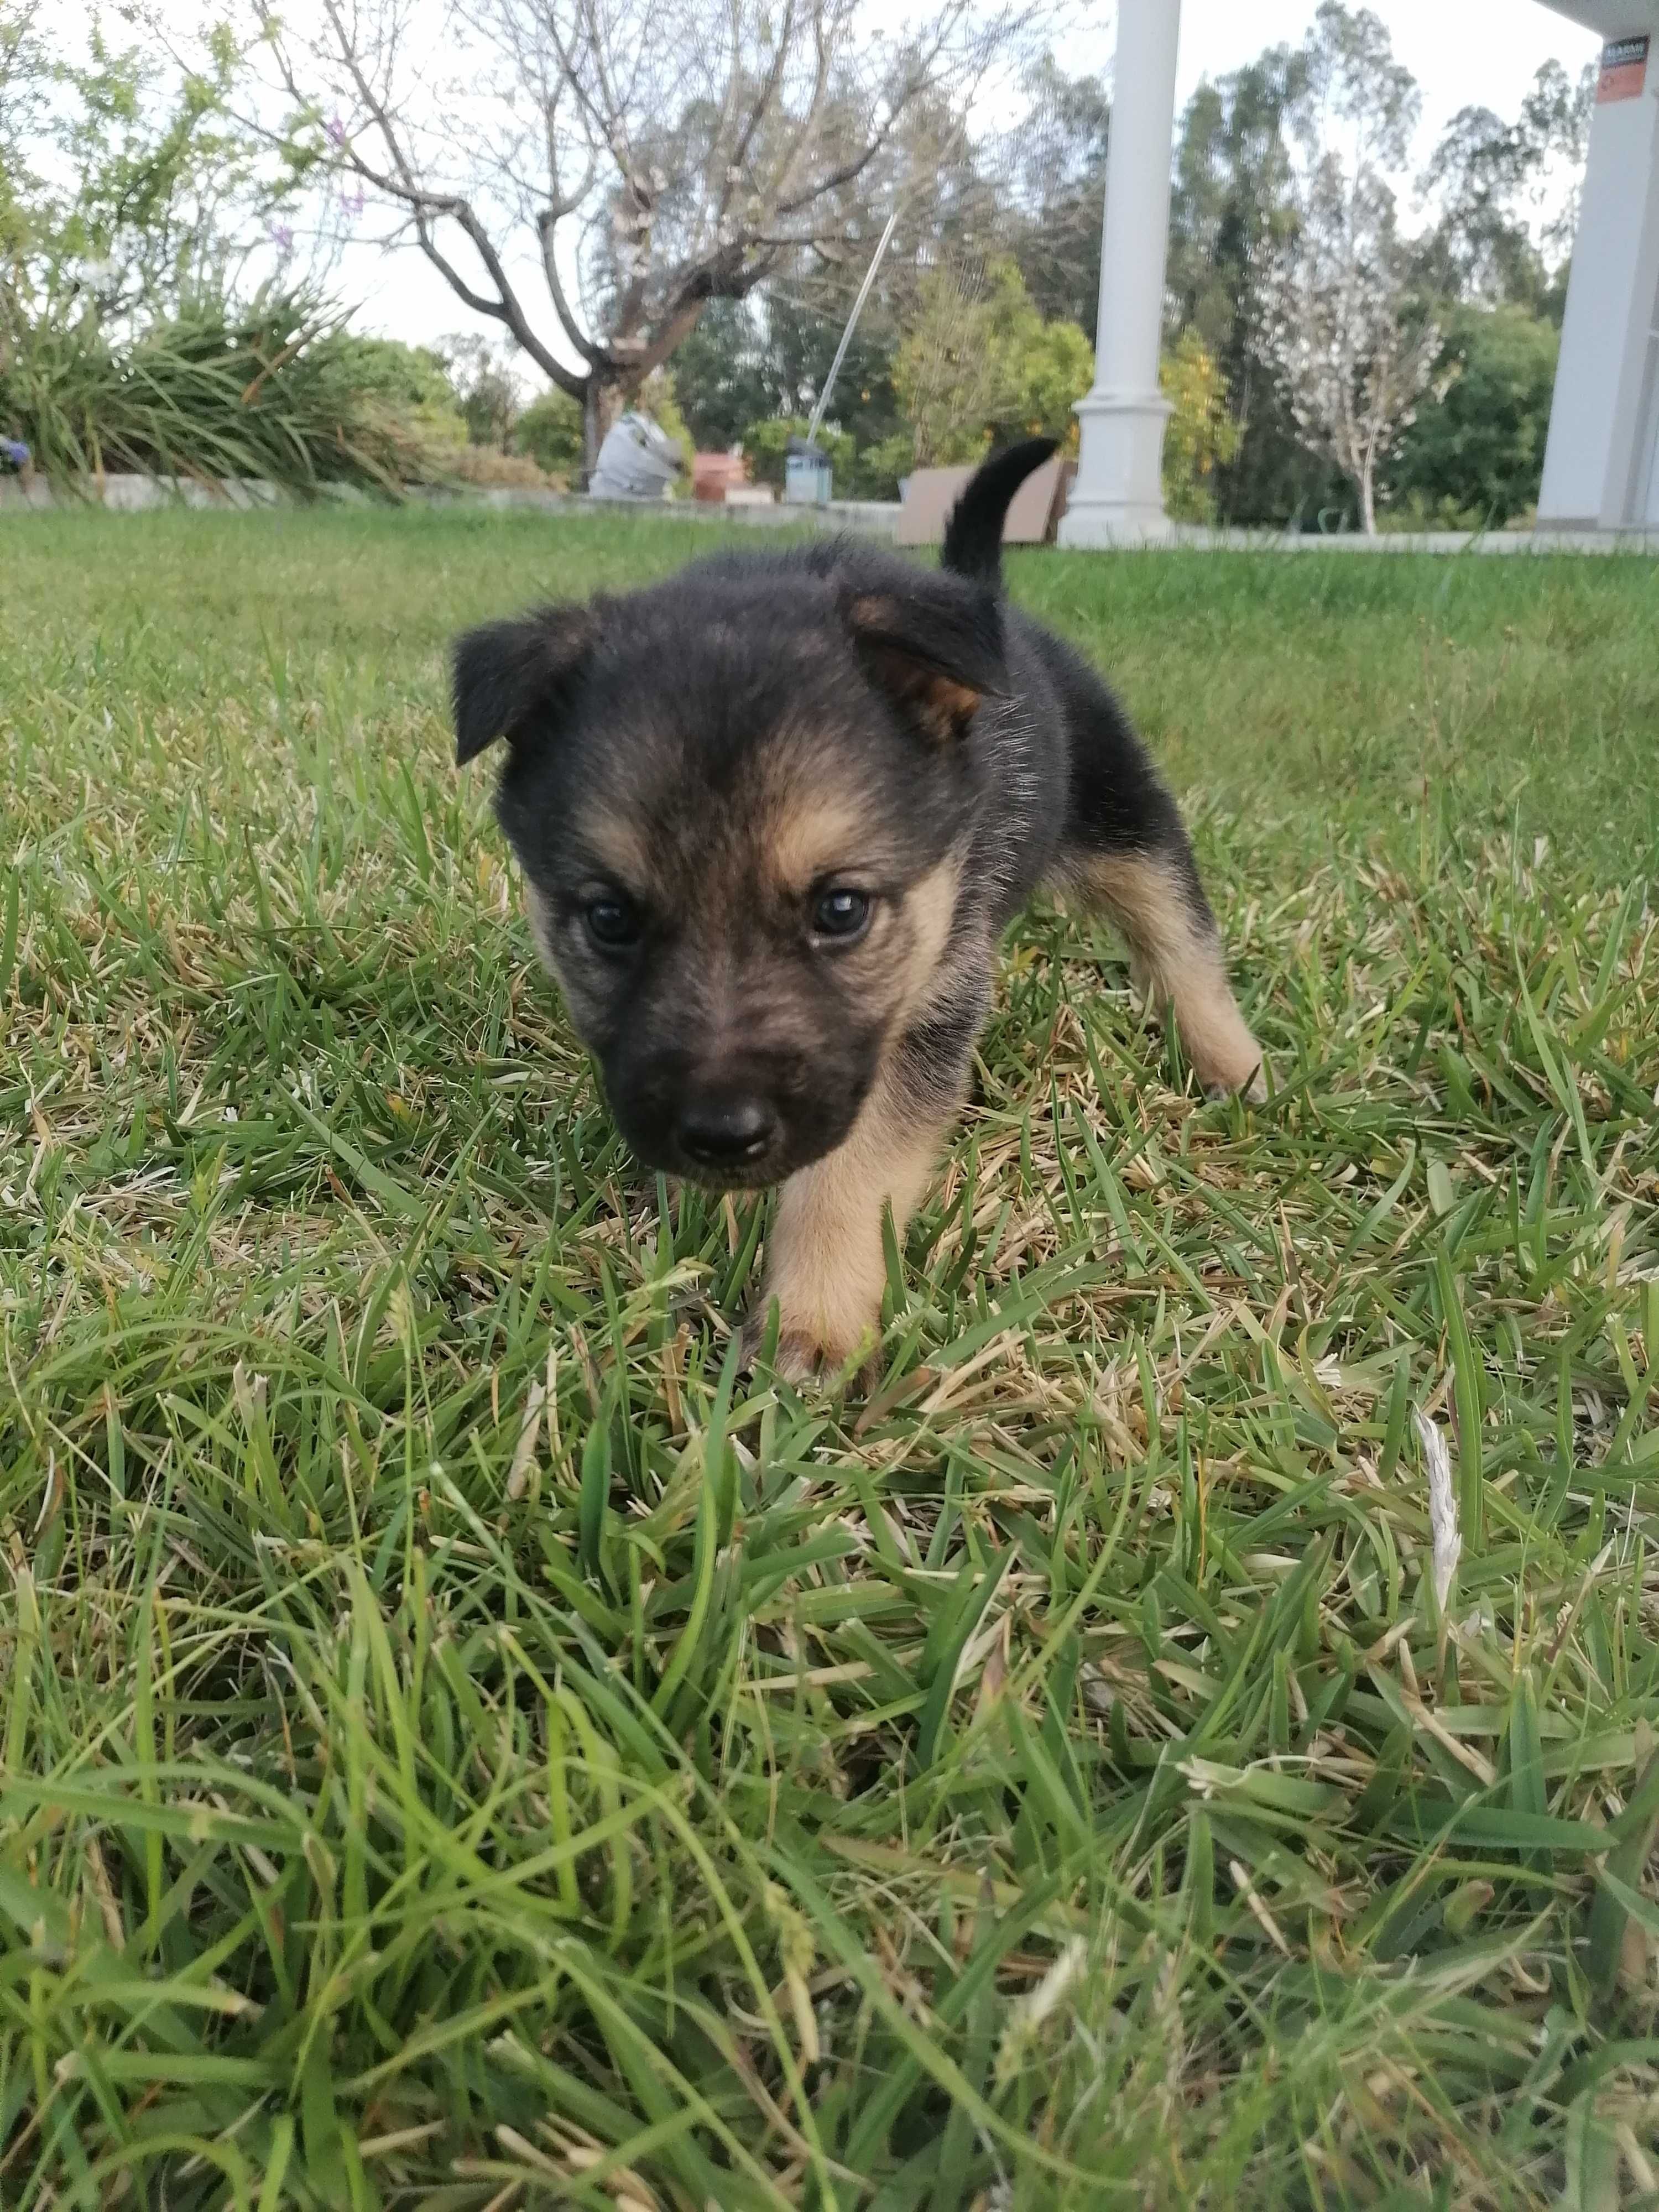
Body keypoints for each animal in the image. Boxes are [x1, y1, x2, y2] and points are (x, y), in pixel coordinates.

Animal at [449, 436, 1265, 1380]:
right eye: (610, 920)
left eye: (841, 910)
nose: (722, 1136)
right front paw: (714, 1231)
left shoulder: (926, 1016)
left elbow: (851, 1173)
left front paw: (813, 1318)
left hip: (1122, 811)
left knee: (1181, 935)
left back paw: (1234, 1064)